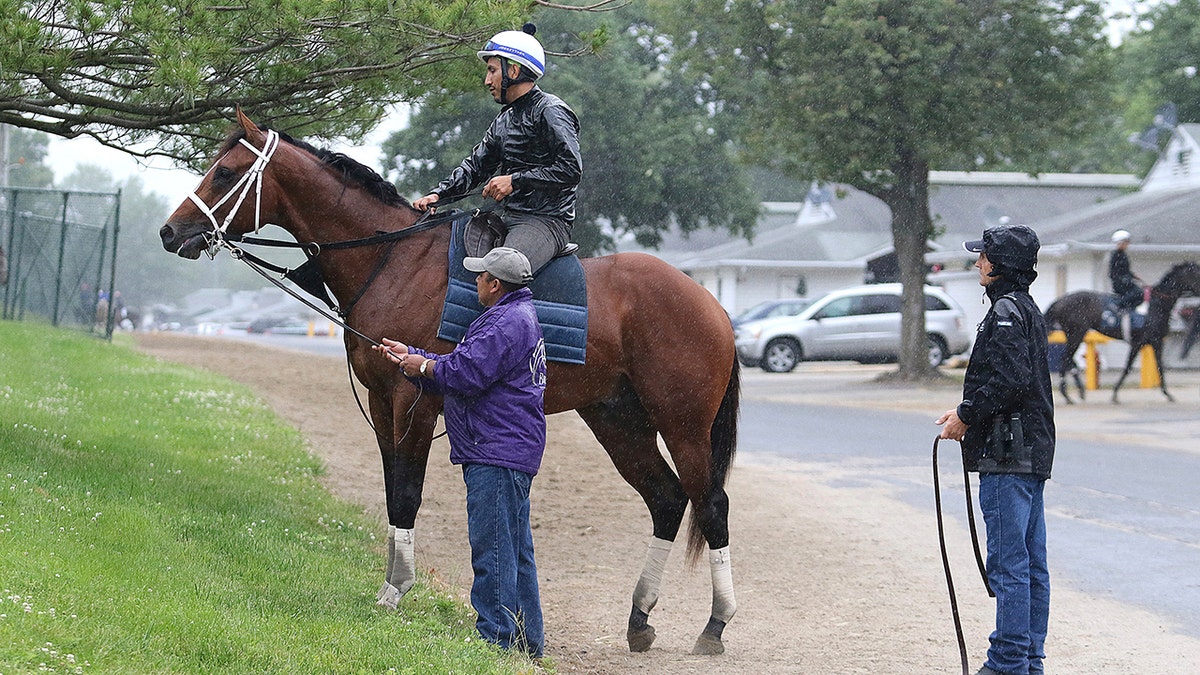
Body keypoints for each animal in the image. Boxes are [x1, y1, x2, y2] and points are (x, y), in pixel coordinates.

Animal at [159, 110, 739, 653]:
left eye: (225, 171)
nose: (170, 231)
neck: (394, 260)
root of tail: (711, 304)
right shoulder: (380, 400)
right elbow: (392, 490)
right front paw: (390, 582)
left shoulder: (414, 398)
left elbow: (407, 492)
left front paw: (396, 589)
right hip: (618, 421)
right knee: (667, 499)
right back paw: (639, 618)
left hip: (683, 425)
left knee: (710, 503)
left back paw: (714, 625)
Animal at [1041, 260, 1200, 401]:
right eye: (1196, 273)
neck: (1156, 305)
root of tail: (1060, 301)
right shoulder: (1140, 343)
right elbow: (1129, 367)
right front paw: (1115, 393)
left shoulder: (1156, 342)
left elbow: (1159, 366)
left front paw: (1167, 393)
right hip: (1076, 333)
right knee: (1065, 359)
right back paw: (1067, 395)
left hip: (1074, 334)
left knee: (1069, 359)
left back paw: (1078, 391)